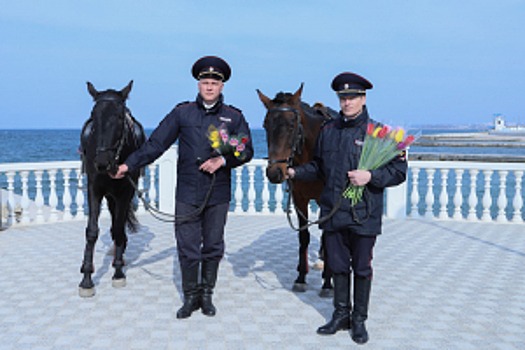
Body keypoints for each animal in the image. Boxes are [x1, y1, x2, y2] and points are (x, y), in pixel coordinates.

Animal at [77, 80, 145, 296]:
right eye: (93, 116)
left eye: (119, 117)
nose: (102, 162)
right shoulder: (94, 189)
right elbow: (91, 231)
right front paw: (87, 278)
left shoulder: (125, 192)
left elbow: (118, 229)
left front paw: (118, 272)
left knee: (119, 226)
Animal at [256, 83, 336, 296]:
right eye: (265, 125)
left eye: (292, 126)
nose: (275, 172)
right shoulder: (300, 199)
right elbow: (303, 237)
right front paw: (301, 277)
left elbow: (328, 236)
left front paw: (327, 282)